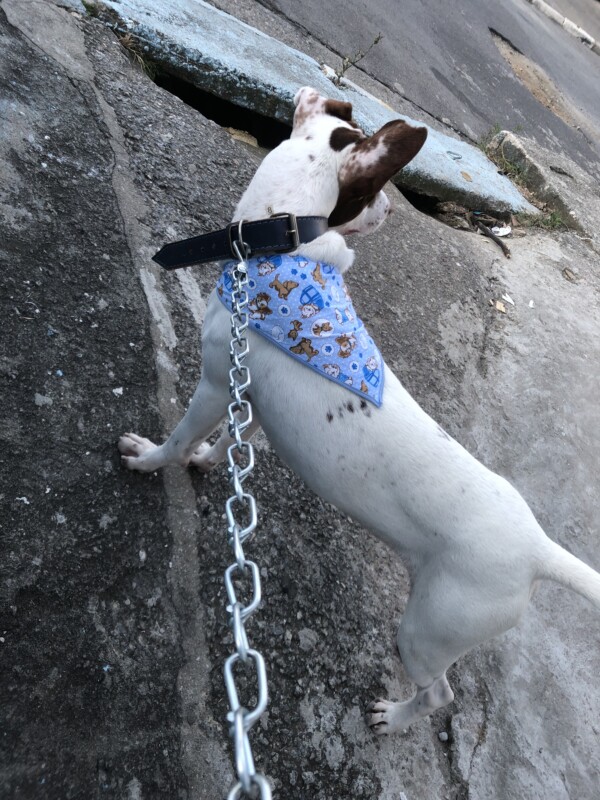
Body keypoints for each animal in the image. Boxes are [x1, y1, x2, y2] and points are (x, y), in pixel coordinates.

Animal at [118, 86, 600, 732]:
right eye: (374, 194)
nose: (393, 211)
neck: (286, 249)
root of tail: (538, 549)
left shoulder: (216, 382)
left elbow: (179, 437)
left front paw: (150, 458)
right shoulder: (248, 394)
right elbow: (232, 438)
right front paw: (211, 460)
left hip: (430, 628)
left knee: (440, 694)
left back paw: (393, 718)